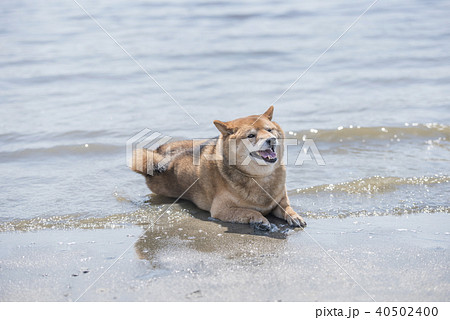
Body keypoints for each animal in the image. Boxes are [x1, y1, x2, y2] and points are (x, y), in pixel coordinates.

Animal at [130, 107, 306, 230]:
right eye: (251, 135)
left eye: (269, 130)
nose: (271, 139)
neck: (259, 178)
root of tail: (159, 154)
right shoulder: (221, 210)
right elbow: (250, 211)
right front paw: (260, 220)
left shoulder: (280, 200)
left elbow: (287, 207)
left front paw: (294, 216)